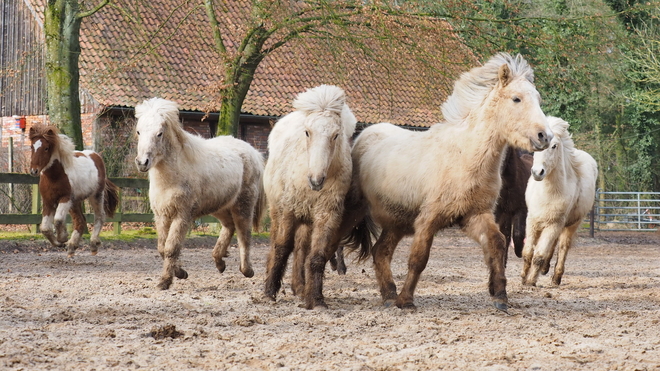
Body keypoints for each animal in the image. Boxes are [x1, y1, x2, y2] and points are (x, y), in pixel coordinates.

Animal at [28, 123, 118, 258]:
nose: (34, 170)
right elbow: (45, 228)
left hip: (96, 195)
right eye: (31, 147)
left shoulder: (65, 198)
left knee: (99, 216)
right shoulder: (48, 201)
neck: (55, 176)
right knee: (80, 221)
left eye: (46, 148)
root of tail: (96, 156)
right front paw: (59, 243)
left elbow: (58, 220)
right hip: (76, 201)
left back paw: (93, 245)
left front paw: (63, 237)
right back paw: (72, 247)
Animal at [134, 98, 266, 290]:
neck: (172, 177)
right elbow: (162, 248)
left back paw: (246, 270)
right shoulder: (162, 215)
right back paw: (219, 262)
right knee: (229, 226)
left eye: (159, 134)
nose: (142, 162)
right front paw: (180, 273)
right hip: (220, 206)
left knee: (244, 235)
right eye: (138, 131)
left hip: (244, 205)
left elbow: (171, 248)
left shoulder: (182, 215)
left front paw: (165, 281)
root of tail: (253, 152)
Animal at [262, 85, 360, 310]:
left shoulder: (327, 214)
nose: (316, 180)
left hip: (307, 219)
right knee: (278, 244)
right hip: (278, 211)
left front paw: (315, 298)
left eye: (335, 135)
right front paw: (269, 292)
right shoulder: (289, 210)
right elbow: (282, 247)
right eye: (307, 132)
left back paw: (299, 287)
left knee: (301, 248)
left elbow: (317, 255)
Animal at [354, 53, 556, 312]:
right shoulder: (428, 220)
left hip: (396, 222)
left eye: (538, 99)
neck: (464, 157)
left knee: (380, 252)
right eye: (516, 99)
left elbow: (497, 245)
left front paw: (500, 296)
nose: (545, 136)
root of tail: (363, 136)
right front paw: (406, 300)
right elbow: (418, 259)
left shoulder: (475, 215)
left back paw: (389, 295)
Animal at [520, 117, 600, 286]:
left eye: (554, 146)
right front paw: (523, 278)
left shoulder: (554, 224)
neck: (549, 193)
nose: (537, 172)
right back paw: (545, 269)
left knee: (563, 246)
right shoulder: (532, 221)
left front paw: (531, 281)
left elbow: (539, 255)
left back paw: (556, 278)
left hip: (570, 224)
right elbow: (528, 252)